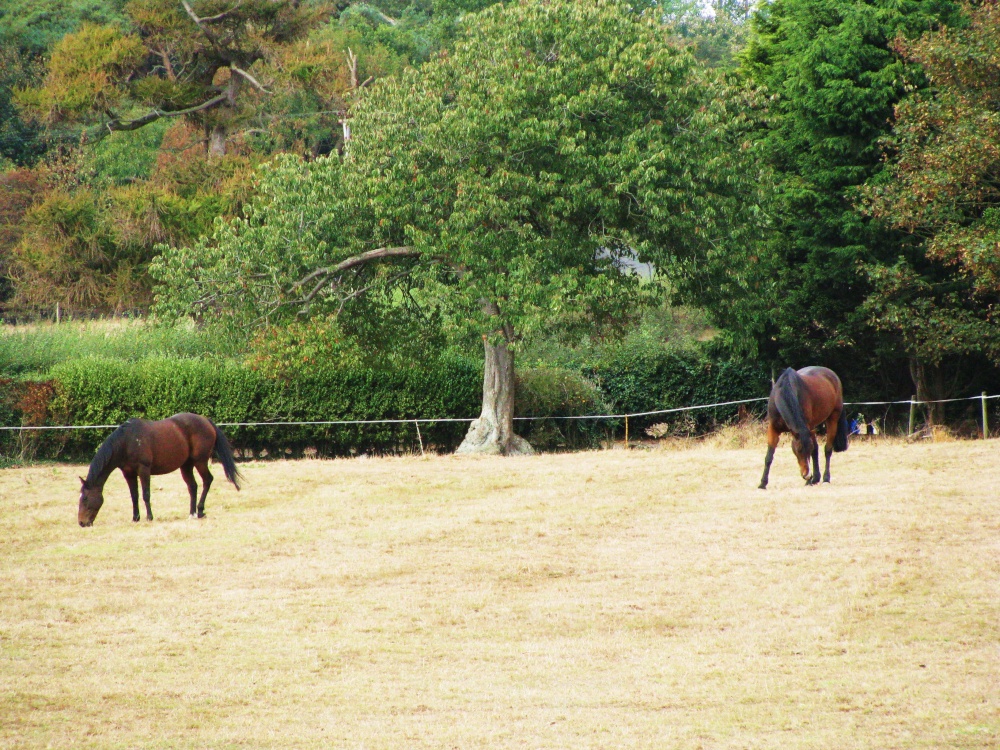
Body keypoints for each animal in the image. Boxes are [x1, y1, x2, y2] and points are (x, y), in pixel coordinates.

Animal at [78, 413, 243, 527]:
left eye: (85, 498)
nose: (81, 523)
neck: (127, 441)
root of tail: (206, 420)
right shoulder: (129, 473)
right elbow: (134, 496)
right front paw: (135, 518)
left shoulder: (143, 470)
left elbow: (146, 494)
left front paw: (149, 517)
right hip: (186, 465)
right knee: (192, 486)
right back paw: (192, 513)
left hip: (200, 461)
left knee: (207, 480)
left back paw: (200, 511)